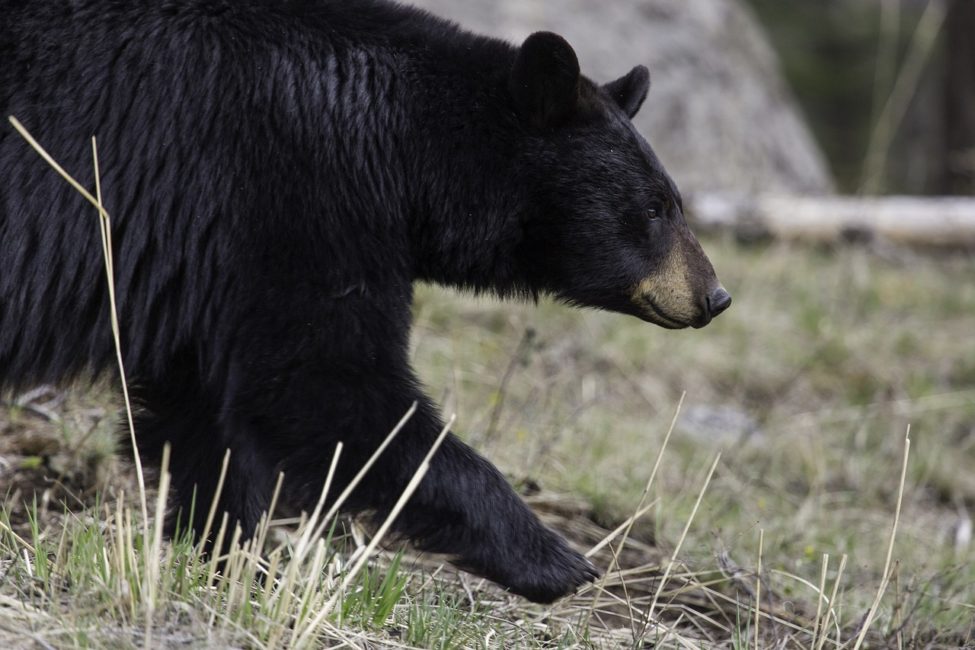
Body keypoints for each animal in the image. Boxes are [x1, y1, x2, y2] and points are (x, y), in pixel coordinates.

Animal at [0, 0, 730, 603]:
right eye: (653, 208)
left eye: (673, 201)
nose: (714, 295)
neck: (403, 144)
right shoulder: (293, 195)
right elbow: (328, 387)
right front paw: (555, 560)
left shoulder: (211, 266)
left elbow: (208, 415)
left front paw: (227, 560)